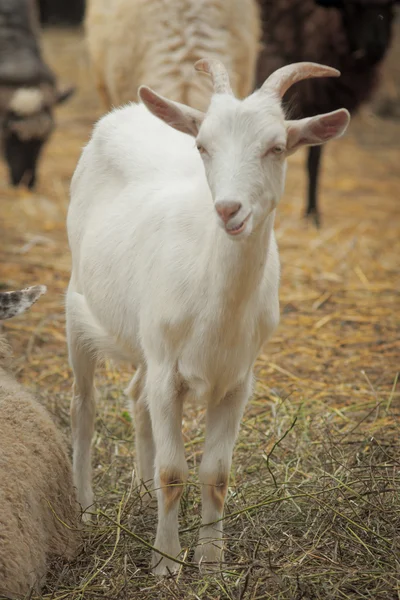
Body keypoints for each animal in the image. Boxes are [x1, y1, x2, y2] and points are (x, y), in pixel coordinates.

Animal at [65, 58, 350, 576]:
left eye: (277, 147)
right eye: (203, 145)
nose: (229, 209)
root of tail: (125, 112)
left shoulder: (238, 380)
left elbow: (215, 474)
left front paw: (212, 561)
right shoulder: (168, 373)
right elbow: (174, 471)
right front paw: (166, 563)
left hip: (146, 340)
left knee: (135, 395)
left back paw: (140, 492)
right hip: (78, 307)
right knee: (84, 405)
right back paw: (86, 509)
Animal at [255, 0, 396, 225]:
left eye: (392, 11)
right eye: (352, 8)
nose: (375, 48)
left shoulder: (321, 107)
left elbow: (315, 161)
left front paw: (313, 213)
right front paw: (311, 215)